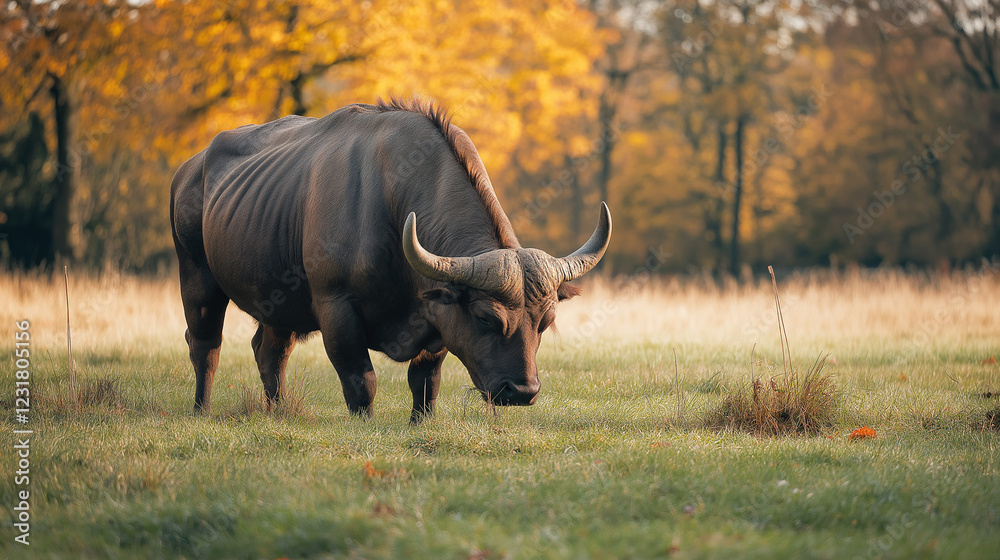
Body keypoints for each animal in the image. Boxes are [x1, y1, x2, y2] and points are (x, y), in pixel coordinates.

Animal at [170, 98, 611, 420]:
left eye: (546, 321)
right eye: (486, 317)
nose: (521, 391)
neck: (392, 201)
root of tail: (189, 169)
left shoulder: (434, 321)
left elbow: (426, 382)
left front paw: (421, 422)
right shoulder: (336, 307)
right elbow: (361, 381)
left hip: (277, 302)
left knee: (269, 351)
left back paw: (275, 412)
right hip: (197, 280)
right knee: (205, 346)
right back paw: (200, 410)